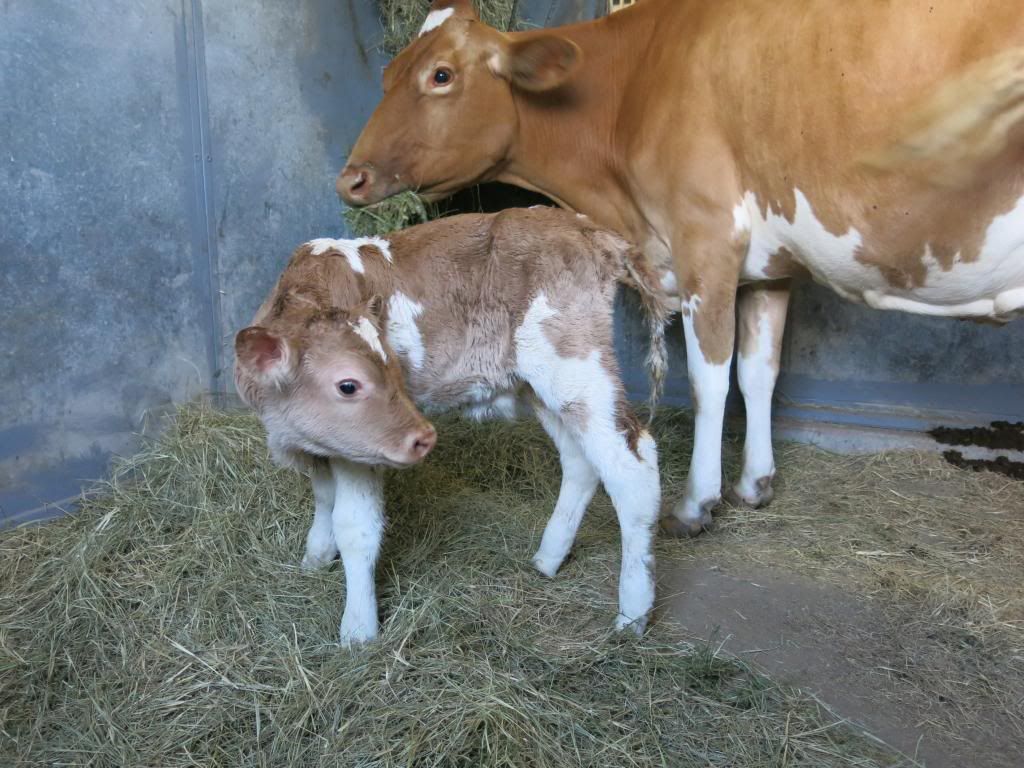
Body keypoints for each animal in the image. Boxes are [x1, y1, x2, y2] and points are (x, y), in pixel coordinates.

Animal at [234, 207, 671, 645]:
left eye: (394, 372)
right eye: (348, 385)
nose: (425, 437)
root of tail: (583, 226)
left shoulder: (363, 448)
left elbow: (355, 526)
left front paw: (358, 629)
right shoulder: (321, 443)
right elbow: (324, 498)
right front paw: (316, 557)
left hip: (576, 364)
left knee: (632, 465)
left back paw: (632, 613)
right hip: (541, 385)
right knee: (581, 460)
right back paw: (548, 559)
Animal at [337, 0, 1024, 537]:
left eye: (441, 75)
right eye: (389, 73)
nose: (350, 178)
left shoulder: (706, 242)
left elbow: (708, 382)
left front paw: (696, 503)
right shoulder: (769, 267)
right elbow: (758, 374)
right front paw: (755, 484)